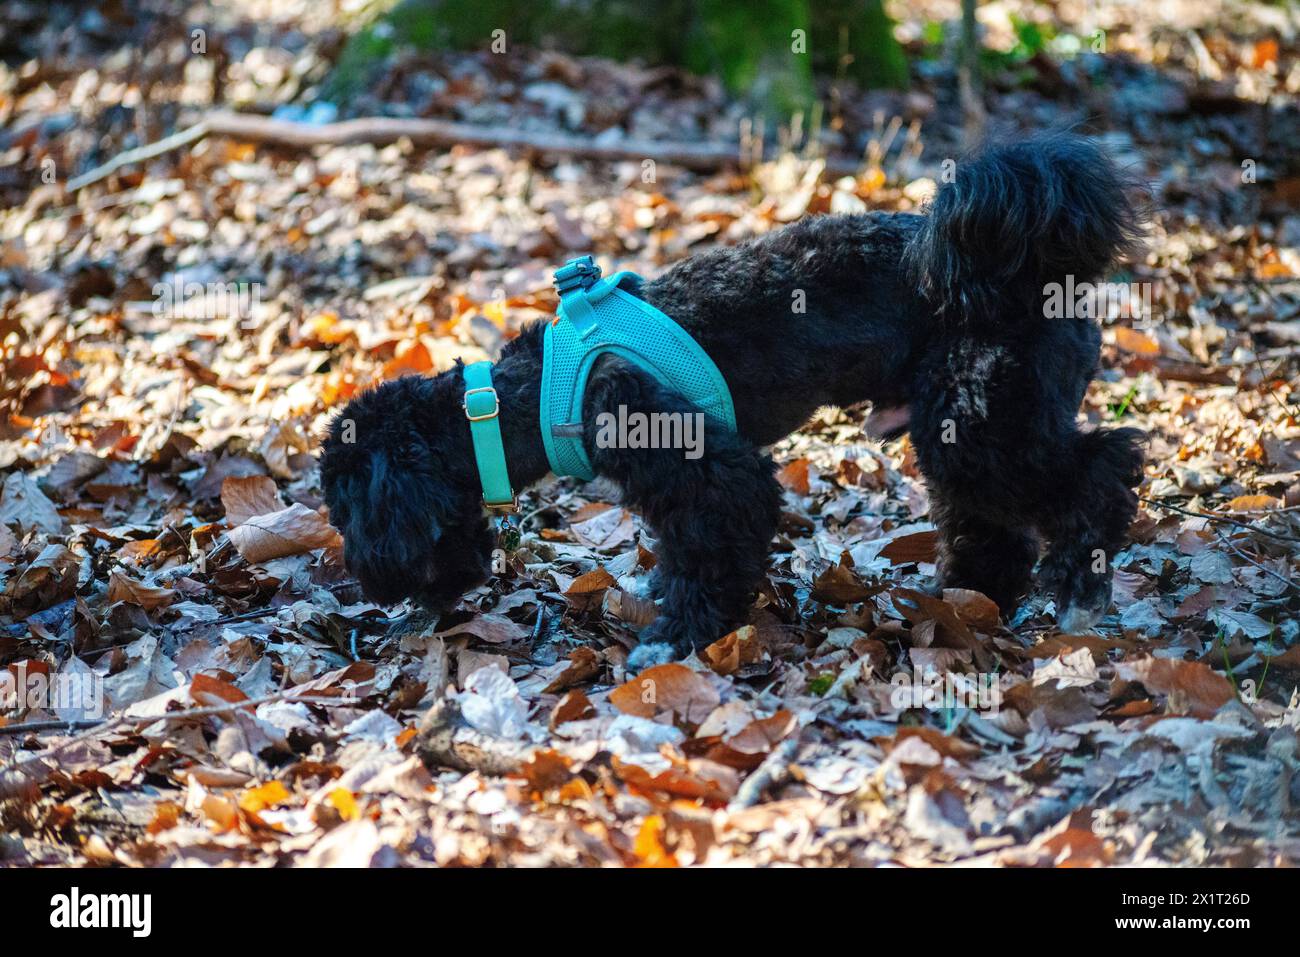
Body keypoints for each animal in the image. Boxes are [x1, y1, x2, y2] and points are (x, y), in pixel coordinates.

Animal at [319, 134, 1144, 670]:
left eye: (346, 508)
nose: (365, 582)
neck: (525, 394)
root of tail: (1035, 272)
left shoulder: (705, 469)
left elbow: (710, 552)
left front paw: (676, 636)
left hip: (979, 420)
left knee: (1106, 462)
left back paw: (1081, 583)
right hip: (962, 422)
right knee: (996, 525)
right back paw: (970, 598)